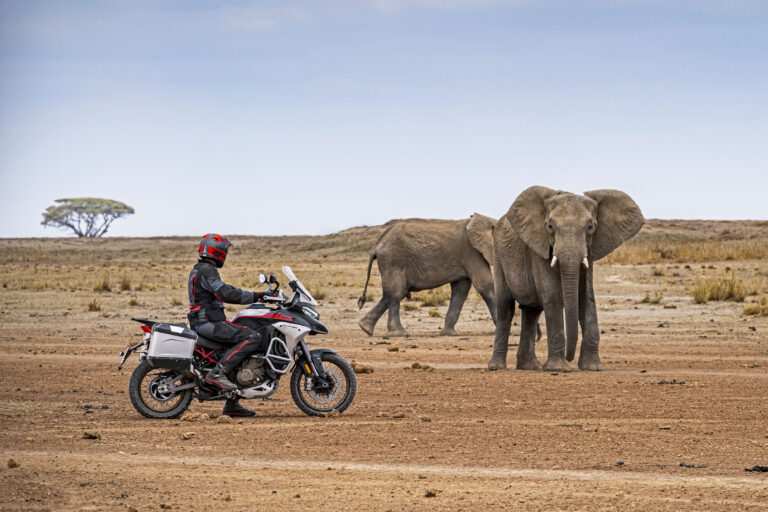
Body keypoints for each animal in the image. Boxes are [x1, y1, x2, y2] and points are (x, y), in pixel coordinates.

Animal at [358, 214, 498, 338]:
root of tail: (377, 245)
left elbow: (460, 290)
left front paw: (449, 334)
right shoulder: (472, 253)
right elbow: (486, 286)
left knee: (392, 294)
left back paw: (365, 328)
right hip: (393, 261)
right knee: (396, 294)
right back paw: (399, 334)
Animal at [488, 186, 644, 370]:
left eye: (590, 226)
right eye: (549, 226)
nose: (570, 358)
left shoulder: (589, 249)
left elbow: (586, 297)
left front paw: (592, 368)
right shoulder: (539, 247)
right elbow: (553, 296)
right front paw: (558, 369)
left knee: (531, 310)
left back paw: (530, 366)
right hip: (498, 254)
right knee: (505, 307)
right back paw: (496, 367)